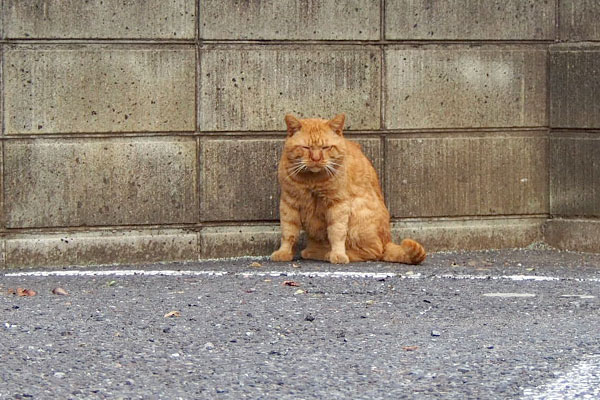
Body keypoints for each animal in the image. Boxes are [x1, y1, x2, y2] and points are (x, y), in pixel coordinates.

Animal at [272, 113, 426, 262]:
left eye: (326, 148)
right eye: (306, 148)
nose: (316, 159)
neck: (312, 180)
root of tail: (387, 241)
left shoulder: (338, 204)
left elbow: (337, 232)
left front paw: (338, 255)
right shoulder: (288, 202)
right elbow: (288, 232)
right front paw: (283, 252)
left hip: (358, 211)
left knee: (374, 252)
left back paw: (330, 254)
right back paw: (314, 252)